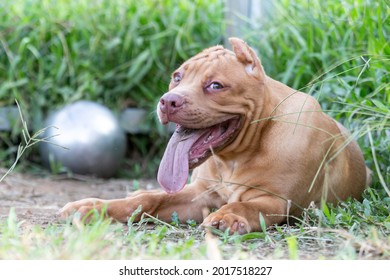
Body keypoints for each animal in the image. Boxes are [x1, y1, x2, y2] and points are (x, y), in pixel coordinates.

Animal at [59, 37, 370, 234]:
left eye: (216, 85)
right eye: (177, 77)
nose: (168, 101)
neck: (235, 156)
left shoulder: (277, 200)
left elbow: (246, 204)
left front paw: (230, 215)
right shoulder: (198, 195)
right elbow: (148, 200)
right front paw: (95, 207)